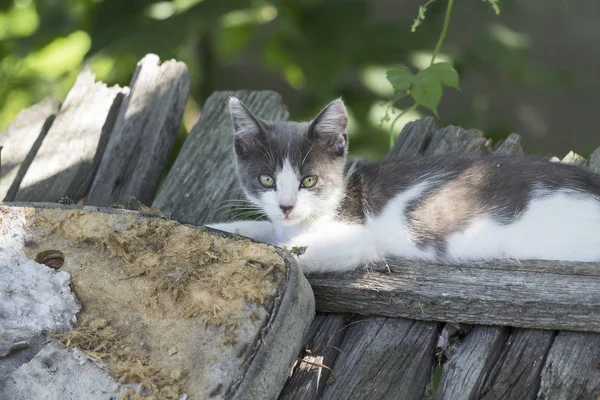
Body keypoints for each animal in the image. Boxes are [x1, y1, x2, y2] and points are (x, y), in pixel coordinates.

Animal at [207, 97, 600, 272]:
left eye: (309, 180)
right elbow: (263, 230)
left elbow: (293, 250)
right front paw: (223, 228)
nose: (286, 206)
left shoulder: (355, 237)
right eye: (266, 179)